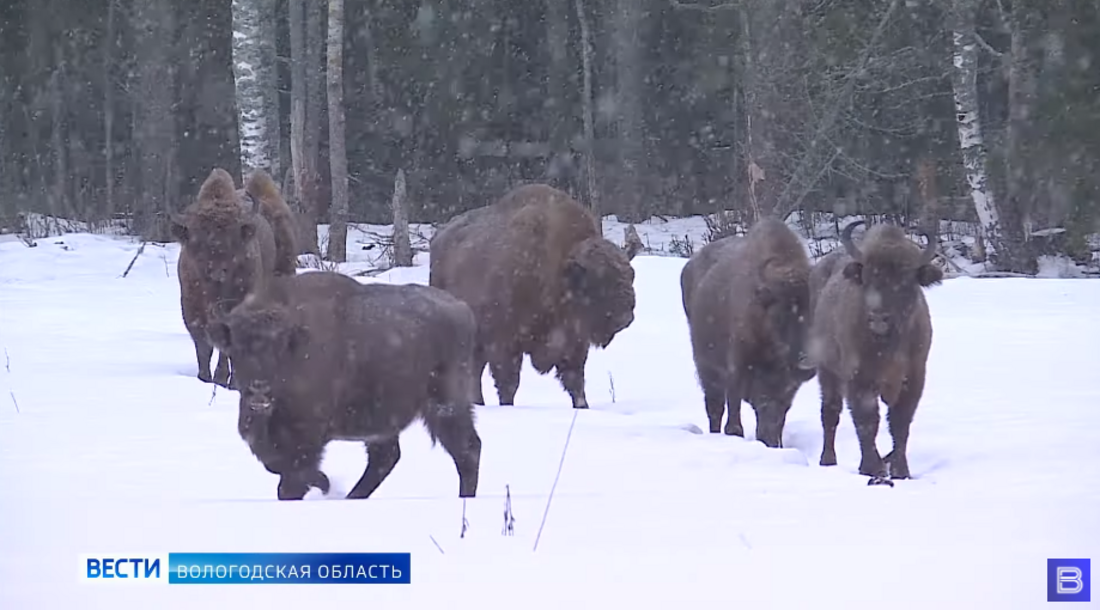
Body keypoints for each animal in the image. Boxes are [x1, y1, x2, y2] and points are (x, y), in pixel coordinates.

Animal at [169, 167, 297, 386]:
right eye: (197, 241)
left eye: (233, 240)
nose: (216, 271)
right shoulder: (191, 306)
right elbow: (203, 346)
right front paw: (204, 377)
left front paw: (225, 380)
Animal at [206, 271, 481, 501]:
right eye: (237, 347)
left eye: (280, 347)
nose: (259, 389)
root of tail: (462, 309)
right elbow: (276, 465)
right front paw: (324, 483)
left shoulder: (306, 436)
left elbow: (292, 478)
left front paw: (323, 483)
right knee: (386, 458)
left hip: (445, 405)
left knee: (467, 450)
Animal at [426, 181, 638, 411]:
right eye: (600, 279)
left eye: (631, 274)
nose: (626, 316)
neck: (560, 271)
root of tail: (438, 239)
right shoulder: (504, 345)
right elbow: (508, 384)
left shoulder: (574, 344)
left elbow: (576, 382)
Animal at [677, 217, 818, 446]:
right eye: (781, 314)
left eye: (816, 310)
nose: (807, 360)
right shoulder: (737, 370)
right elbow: (734, 421)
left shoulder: (784, 388)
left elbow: (773, 424)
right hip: (707, 368)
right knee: (715, 408)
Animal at [809, 220, 946, 487]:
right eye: (868, 278)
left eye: (906, 280)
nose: (879, 317)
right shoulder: (859, 380)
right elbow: (867, 421)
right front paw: (873, 470)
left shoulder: (913, 379)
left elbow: (900, 423)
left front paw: (901, 471)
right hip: (827, 372)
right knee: (830, 414)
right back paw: (827, 460)